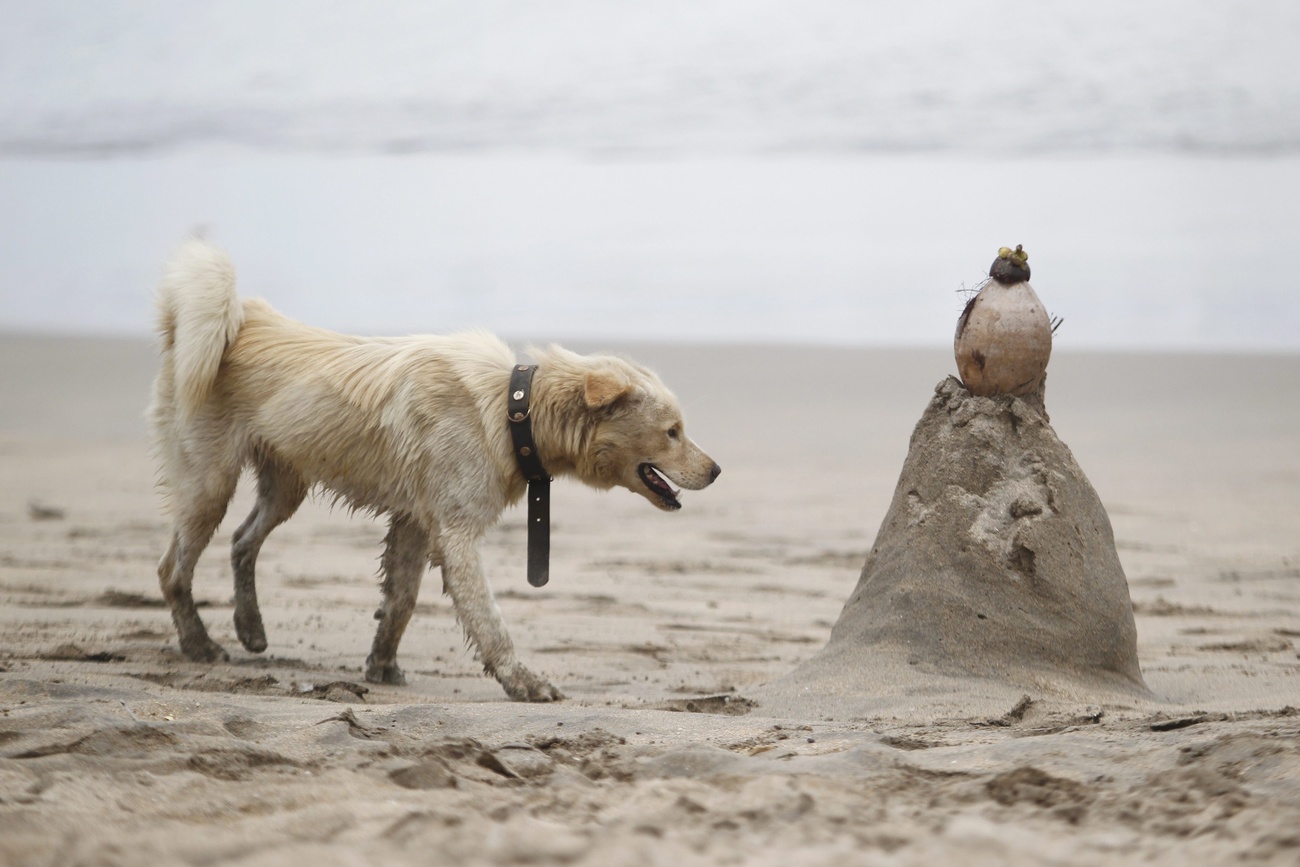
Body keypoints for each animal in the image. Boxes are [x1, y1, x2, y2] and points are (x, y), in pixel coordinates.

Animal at [154, 240, 722, 701]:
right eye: (673, 431)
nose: (717, 471)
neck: (513, 410)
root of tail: (237, 320)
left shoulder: (415, 523)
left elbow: (401, 602)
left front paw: (381, 666)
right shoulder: (456, 533)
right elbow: (489, 620)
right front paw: (522, 681)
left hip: (284, 484)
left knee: (241, 541)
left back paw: (250, 628)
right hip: (210, 483)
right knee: (172, 568)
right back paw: (200, 645)